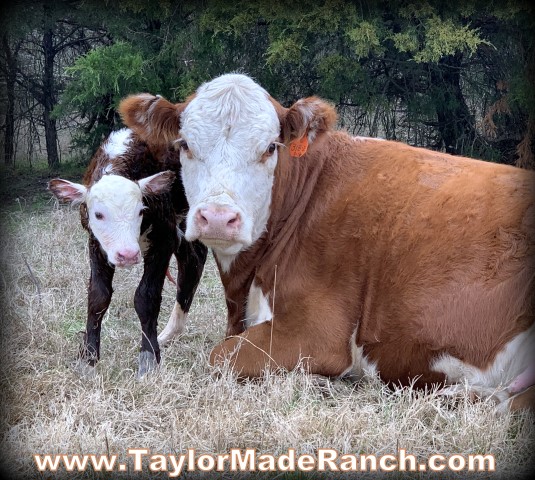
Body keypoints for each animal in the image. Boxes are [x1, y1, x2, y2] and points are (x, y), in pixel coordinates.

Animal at [48, 129, 207, 376]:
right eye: (98, 214)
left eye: (141, 210)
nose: (128, 255)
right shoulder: (96, 244)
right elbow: (98, 297)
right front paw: (89, 359)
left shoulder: (164, 239)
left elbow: (146, 297)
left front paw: (149, 358)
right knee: (193, 261)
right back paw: (169, 334)